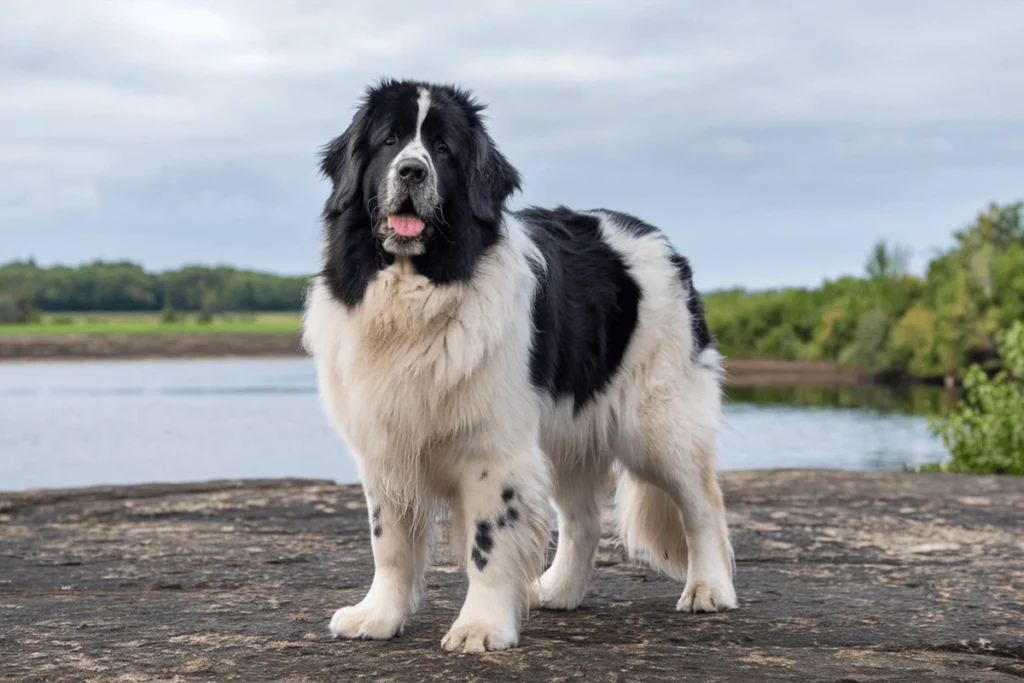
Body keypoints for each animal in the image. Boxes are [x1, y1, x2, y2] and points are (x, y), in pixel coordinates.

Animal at [301, 80, 737, 655]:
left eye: (444, 150)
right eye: (389, 141)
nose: (412, 171)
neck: (417, 290)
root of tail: (659, 242)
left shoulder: (494, 450)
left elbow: (488, 543)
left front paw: (480, 627)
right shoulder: (387, 445)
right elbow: (389, 543)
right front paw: (378, 616)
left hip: (661, 422)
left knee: (702, 505)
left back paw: (710, 588)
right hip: (570, 433)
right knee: (582, 520)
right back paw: (559, 590)